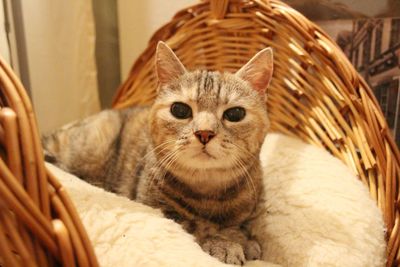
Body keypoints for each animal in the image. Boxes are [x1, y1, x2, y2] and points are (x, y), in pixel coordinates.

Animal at [43, 42, 276, 266]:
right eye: (180, 110)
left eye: (235, 114)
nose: (204, 133)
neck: (209, 193)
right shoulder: (158, 209)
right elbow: (197, 227)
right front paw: (225, 243)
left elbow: (242, 225)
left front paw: (241, 240)